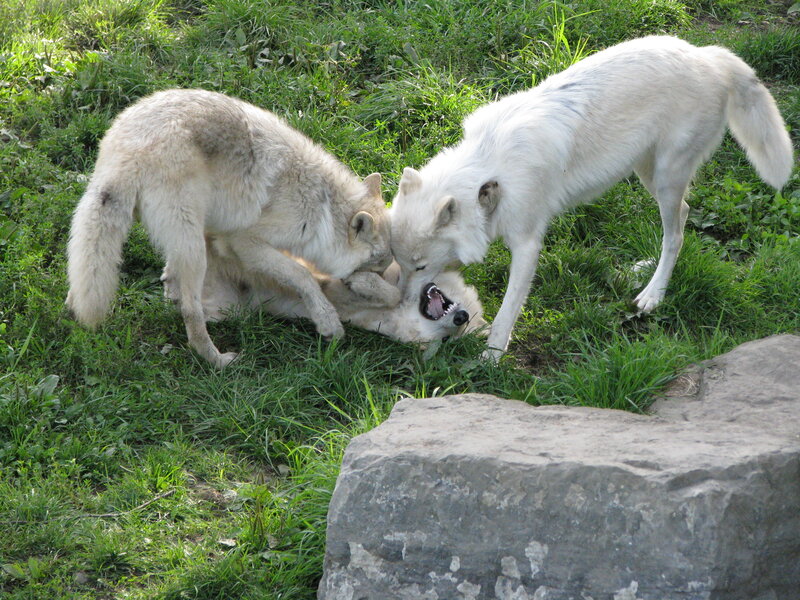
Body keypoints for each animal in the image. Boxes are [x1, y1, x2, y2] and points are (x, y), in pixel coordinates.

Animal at [67, 89, 392, 367]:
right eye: (377, 268)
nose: (385, 289)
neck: (321, 206)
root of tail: (130, 150)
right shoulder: (244, 242)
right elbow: (303, 276)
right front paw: (328, 322)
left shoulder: (217, 234)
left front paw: (168, 287)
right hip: (194, 250)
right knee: (192, 314)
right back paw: (217, 360)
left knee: (80, 274)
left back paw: (71, 313)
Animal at [389, 35, 794, 361]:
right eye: (401, 265)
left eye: (420, 267)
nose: (402, 301)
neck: (490, 170)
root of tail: (708, 55)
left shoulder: (527, 245)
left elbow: (506, 311)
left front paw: (491, 358)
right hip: (647, 174)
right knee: (683, 215)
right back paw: (642, 269)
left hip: (665, 178)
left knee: (676, 233)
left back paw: (653, 295)